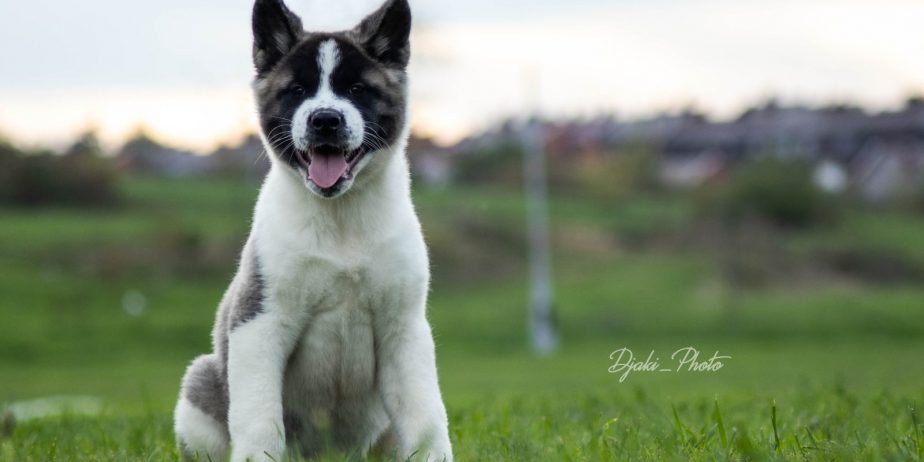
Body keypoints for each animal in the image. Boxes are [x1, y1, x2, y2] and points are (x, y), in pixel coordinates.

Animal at [173, 1, 454, 460]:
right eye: (297, 90)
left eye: (357, 89)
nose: (325, 120)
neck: (341, 220)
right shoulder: (259, 322)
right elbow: (260, 419)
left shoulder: (404, 329)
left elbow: (426, 417)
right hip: (200, 383)